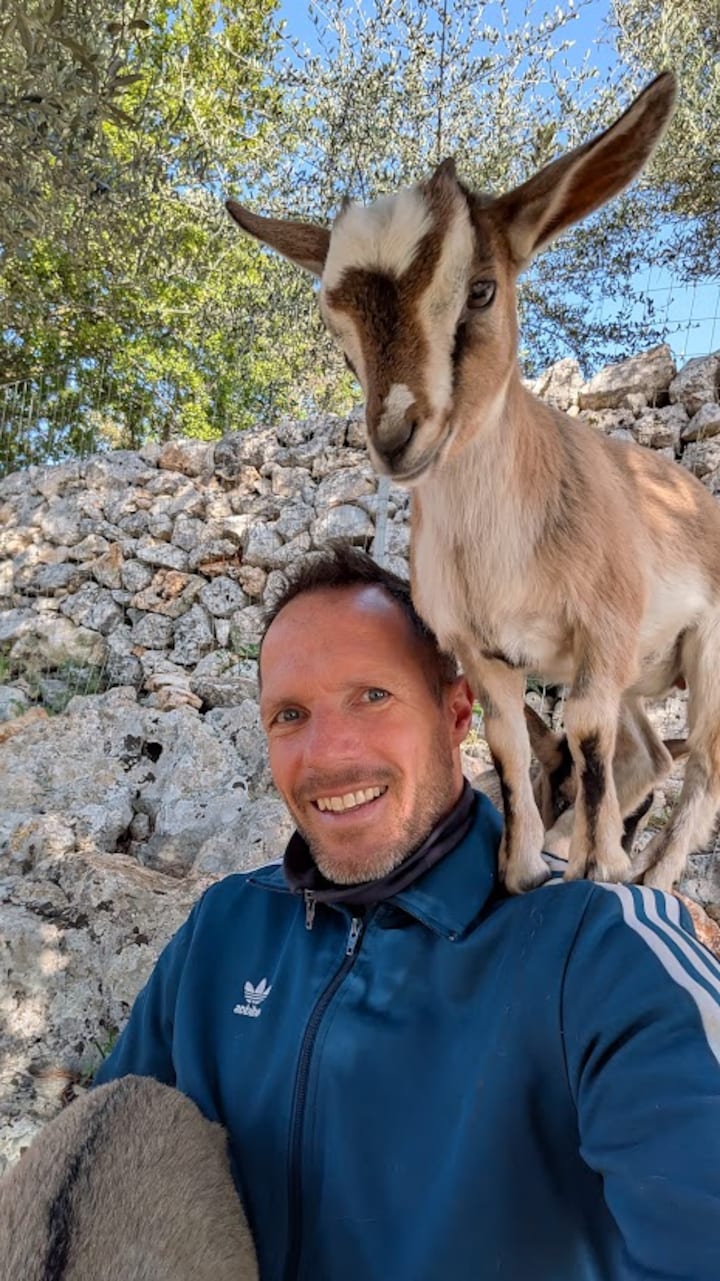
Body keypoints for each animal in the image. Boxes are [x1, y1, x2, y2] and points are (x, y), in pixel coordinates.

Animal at [226, 73, 720, 894]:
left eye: (483, 290)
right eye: (335, 325)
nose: (397, 434)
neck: (505, 551)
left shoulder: (605, 629)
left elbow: (584, 735)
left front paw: (597, 869)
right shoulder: (483, 649)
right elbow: (509, 745)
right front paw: (521, 869)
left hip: (706, 654)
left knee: (704, 763)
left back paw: (651, 878)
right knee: (652, 752)